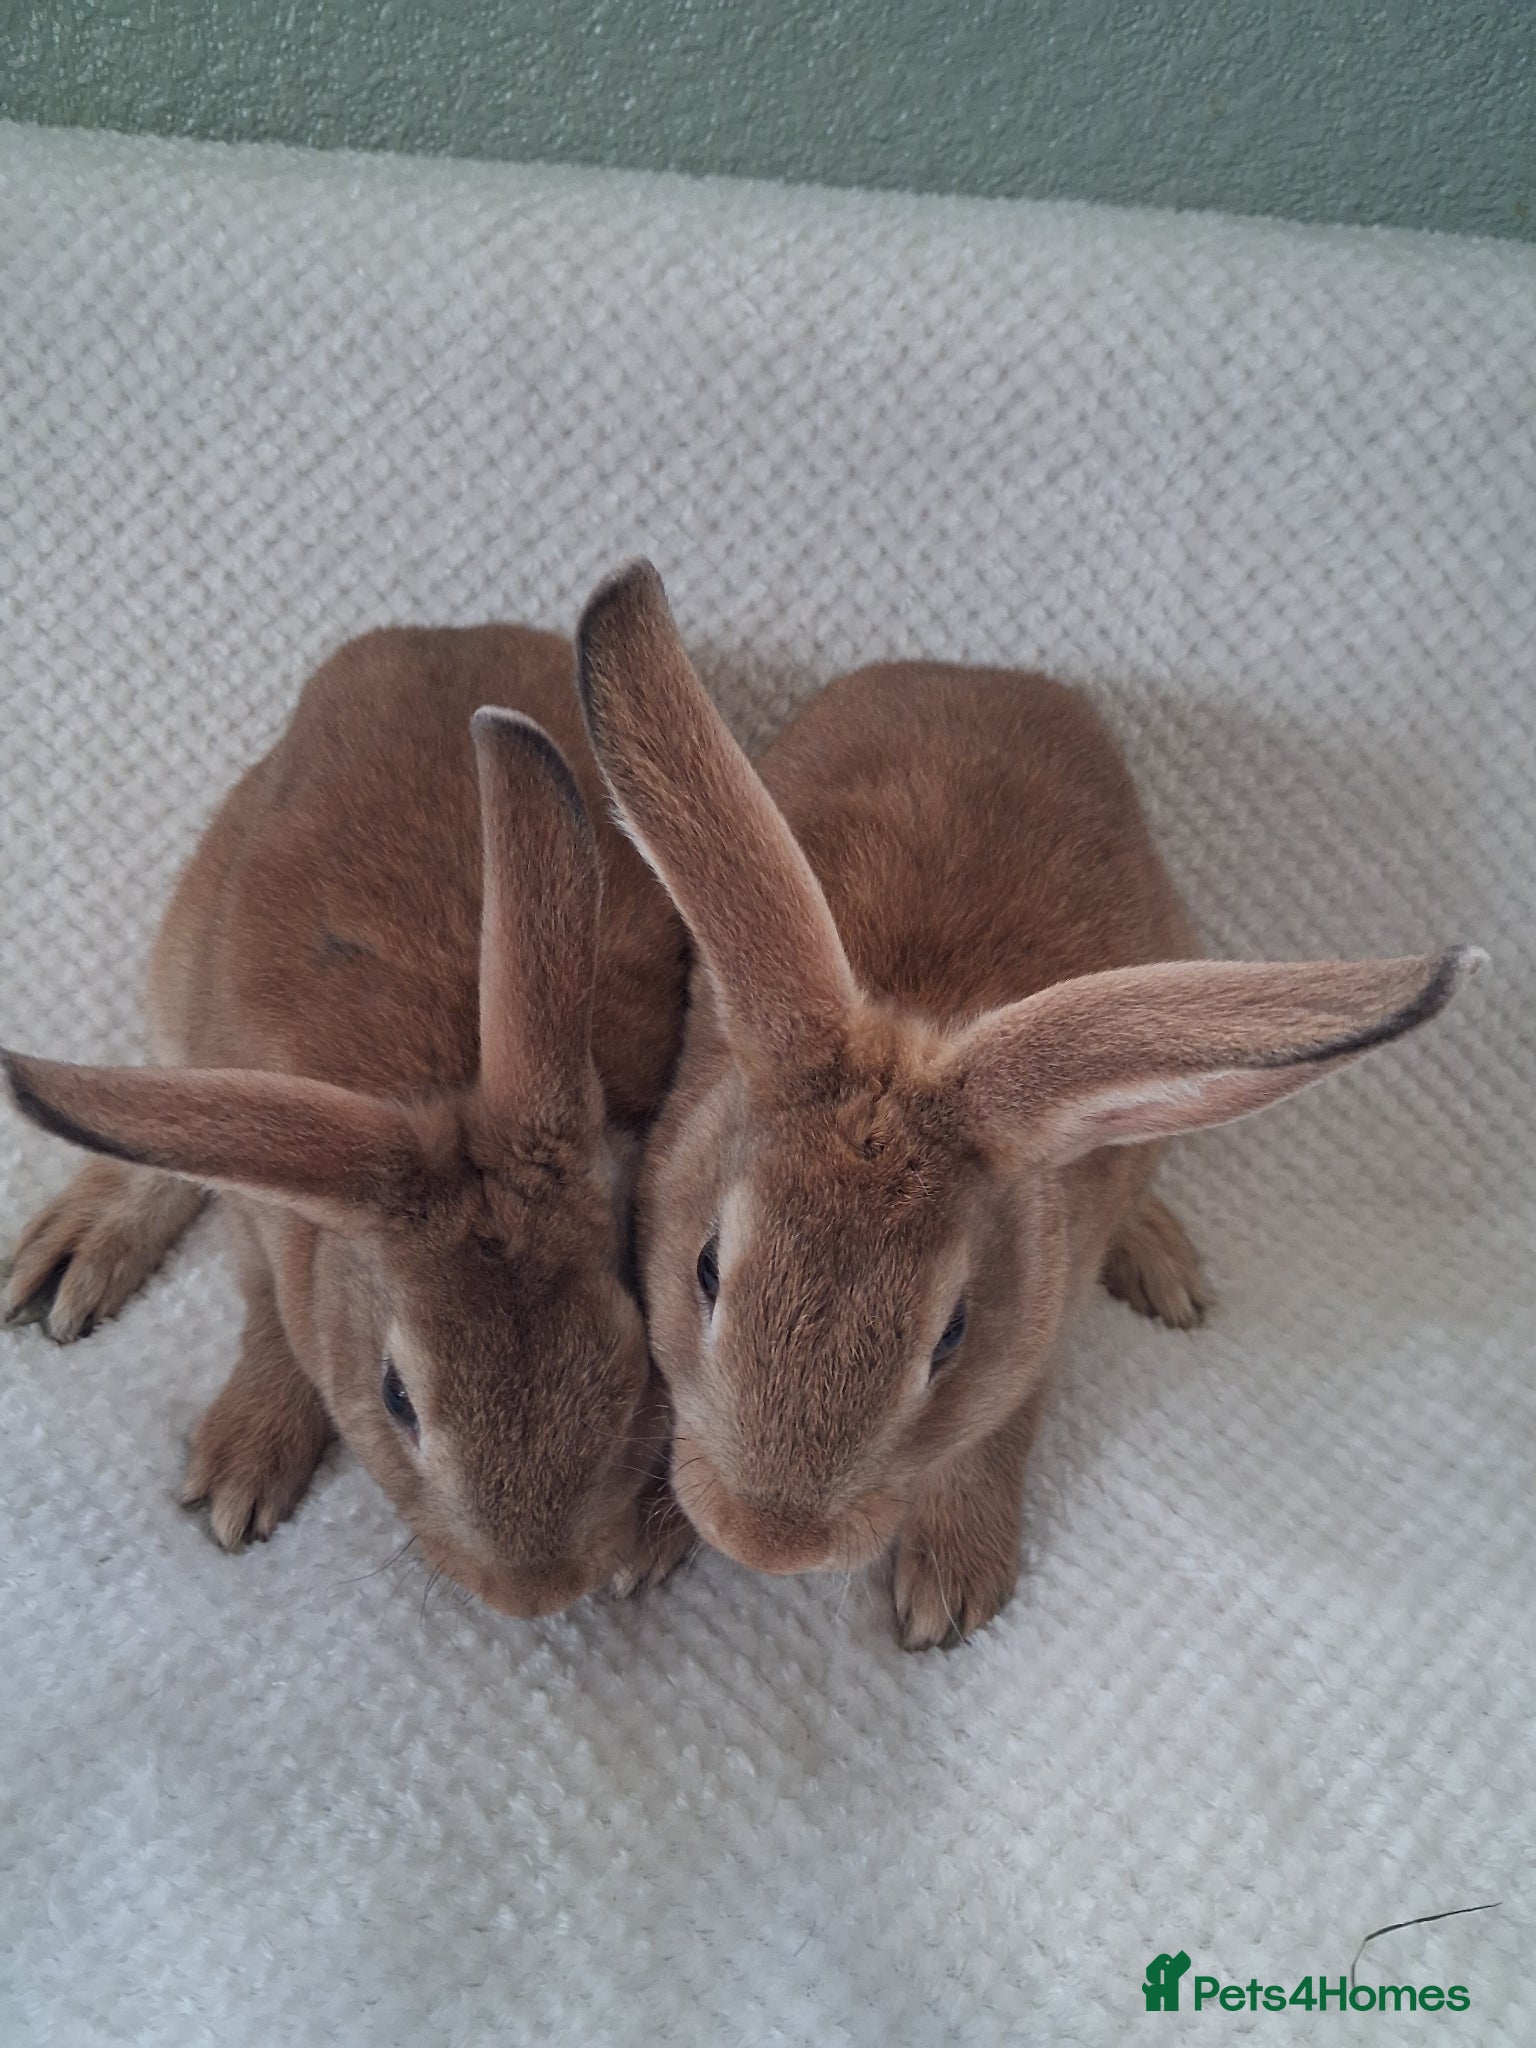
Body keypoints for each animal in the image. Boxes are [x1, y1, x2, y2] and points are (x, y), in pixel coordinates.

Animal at [3, 623, 690, 1615]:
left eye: (634, 1352)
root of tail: (437, 635)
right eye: (396, 1397)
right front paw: (241, 1471)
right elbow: (270, 1323)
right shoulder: (269, 1216)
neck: (450, 1079)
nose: (535, 1592)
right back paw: (67, 1257)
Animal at [573, 561, 1483, 1650]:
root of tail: (991, 671)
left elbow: (996, 1436)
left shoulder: (1028, 1348)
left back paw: (1168, 1270)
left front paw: (952, 1590)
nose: (772, 1540)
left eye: (951, 1335)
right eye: (706, 1270)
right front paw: (636, 1543)